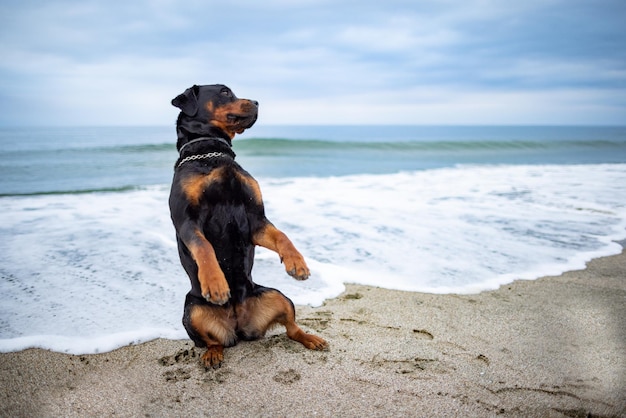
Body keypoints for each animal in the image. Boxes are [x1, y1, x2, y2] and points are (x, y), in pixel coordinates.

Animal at [168, 84, 330, 366]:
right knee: (213, 341)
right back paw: (213, 354)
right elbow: (203, 246)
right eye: (224, 92)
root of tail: (238, 325)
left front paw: (297, 263)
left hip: (277, 295)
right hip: (192, 310)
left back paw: (311, 338)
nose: (256, 102)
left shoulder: (255, 220)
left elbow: (282, 235)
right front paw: (215, 283)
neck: (211, 152)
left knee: (291, 328)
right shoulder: (186, 221)